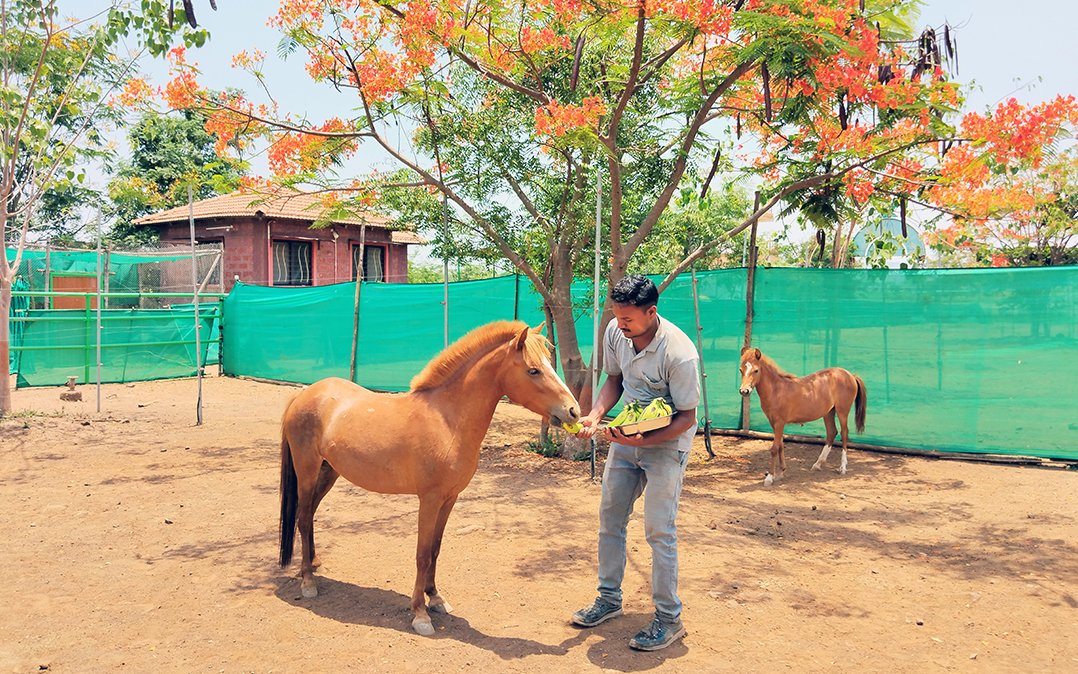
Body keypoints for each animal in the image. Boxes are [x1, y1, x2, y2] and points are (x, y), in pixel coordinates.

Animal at [280, 321, 582, 634]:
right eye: (533, 370)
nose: (574, 411)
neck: (448, 422)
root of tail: (303, 394)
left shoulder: (449, 499)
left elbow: (435, 550)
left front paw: (435, 598)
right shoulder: (429, 499)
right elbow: (422, 554)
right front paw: (420, 614)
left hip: (329, 471)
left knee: (309, 515)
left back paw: (313, 563)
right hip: (307, 471)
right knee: (304, 518)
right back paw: (307, 581)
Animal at [737, 347, 862, 483]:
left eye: (756, 370)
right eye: (741, 370)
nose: (744, 391)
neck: (776, 390)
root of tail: (850, 375)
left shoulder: (779, 423)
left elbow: (774, 448)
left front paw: (769, 478)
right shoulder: (774, 423)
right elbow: (780, 446)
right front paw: (780, 473)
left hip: (842, 411)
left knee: (844, 434)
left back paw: (842, 468)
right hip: (829, 412)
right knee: (831, 433)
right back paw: (817, 465)